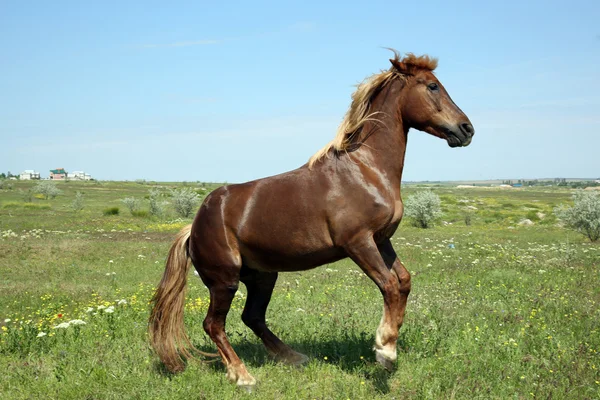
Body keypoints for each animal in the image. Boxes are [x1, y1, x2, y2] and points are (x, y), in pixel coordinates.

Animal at [149, 50, 474, 388]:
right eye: (432, 85)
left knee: (252, 317)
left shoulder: (382, 240)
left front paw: (388, 344)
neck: (365, 170)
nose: (466, 129)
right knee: (214, 324)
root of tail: (194, 226)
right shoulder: (358, 243)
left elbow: (404, 282)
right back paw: (242, 375)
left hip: (262, 276)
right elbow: (390, 286)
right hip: (224, 280)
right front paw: (385, 352)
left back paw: (293, 357)